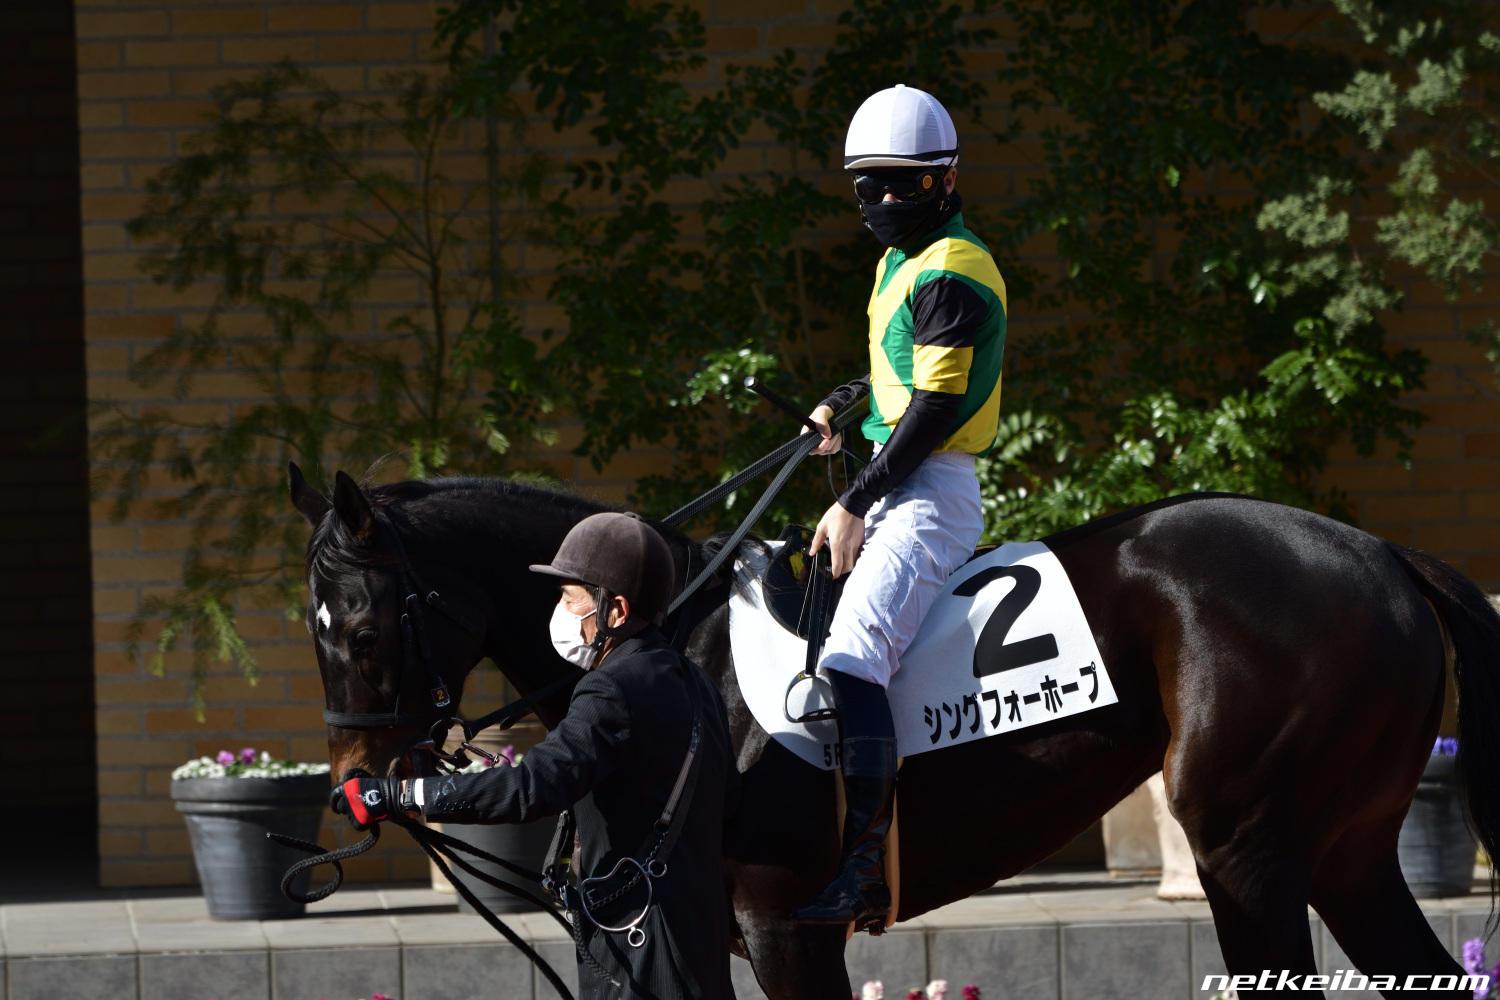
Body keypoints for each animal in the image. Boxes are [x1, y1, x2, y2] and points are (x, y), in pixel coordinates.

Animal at [289, 463, 1500, 999]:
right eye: (314, 627)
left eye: (363, 623)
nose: (356, 776)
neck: (686, 648)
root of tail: (1380, 553)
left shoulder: (785, 928)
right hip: (1344, 854)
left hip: (1247, 852)